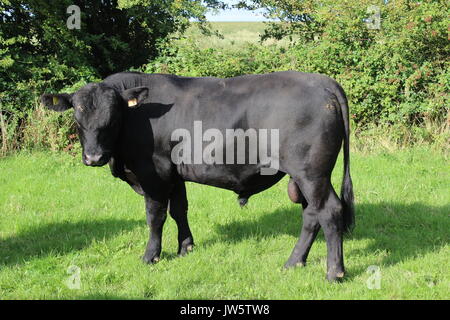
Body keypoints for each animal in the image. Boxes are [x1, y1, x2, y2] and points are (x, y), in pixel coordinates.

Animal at [40, 71, 354, 282]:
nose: (93, 157)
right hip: (305, 177)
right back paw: (294, 262)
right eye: (77, 117)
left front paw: (150, 256)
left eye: (113, 117)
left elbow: (155, 216)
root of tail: (323, 81)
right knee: (311, 215)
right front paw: (185, 247)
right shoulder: (175, 173)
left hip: (311, 173)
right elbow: (179, 210)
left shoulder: (153, 172)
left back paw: (334, 272)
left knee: (329, 212)